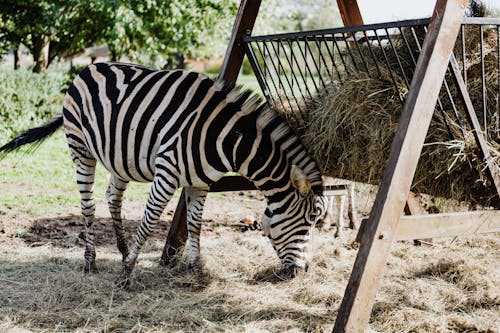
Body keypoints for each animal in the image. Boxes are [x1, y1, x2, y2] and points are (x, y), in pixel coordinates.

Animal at [0, 63, 326, 288]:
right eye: (310, 220)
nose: (303, 272)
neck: (225, 139)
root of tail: (90, 68)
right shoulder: (167, 173)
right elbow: (149, 222)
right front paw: (126, 275)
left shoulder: (201, 182)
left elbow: (195, 225)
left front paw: (196, 270)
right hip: (80, 148)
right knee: (88, 205)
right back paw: (90, 261)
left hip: (120, 158)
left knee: (112, 198)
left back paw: (121, 250)